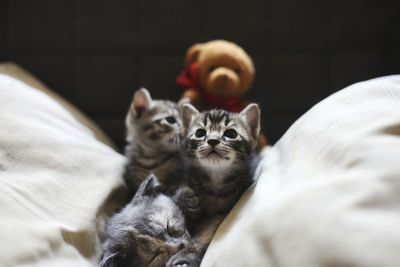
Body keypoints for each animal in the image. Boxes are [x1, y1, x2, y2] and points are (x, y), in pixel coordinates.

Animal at [166, 103, 260, 267]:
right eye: (200, 133)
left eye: (231, 133)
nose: (213, 140)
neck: (215, 181)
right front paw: (185, 200)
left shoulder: (222, 212)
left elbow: (208, 231)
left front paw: (186, 256)